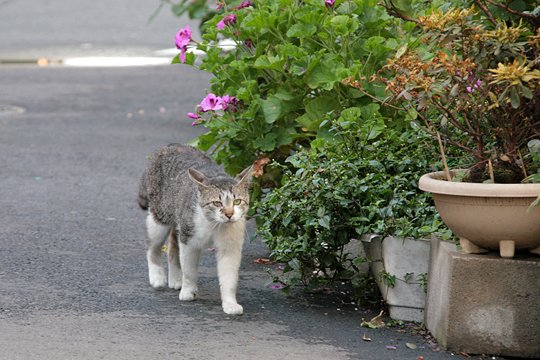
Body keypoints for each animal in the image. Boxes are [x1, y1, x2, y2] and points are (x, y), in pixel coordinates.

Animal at [137, 144, 251, 316]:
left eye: (237, 201)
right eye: (217, 203)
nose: (229, 214)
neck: (214, 224)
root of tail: (168, 146)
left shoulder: (230, 245)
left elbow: (229, 276)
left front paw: (230, 304)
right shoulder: (189, 238)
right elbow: (189, 270)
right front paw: (188, 292)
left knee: (172, 245)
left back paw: (176, 279)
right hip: (161, 216)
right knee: (153, 246)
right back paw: (157, 277)